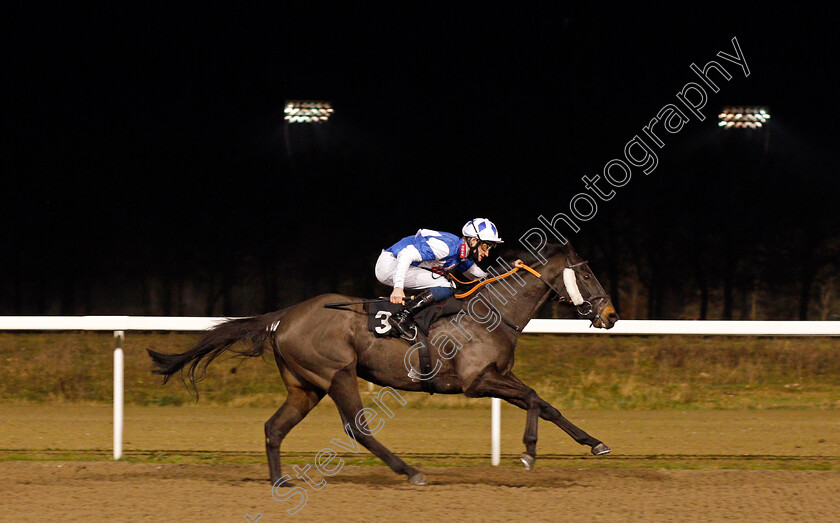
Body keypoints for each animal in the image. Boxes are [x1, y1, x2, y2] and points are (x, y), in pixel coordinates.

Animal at [146, 244, 616, 486]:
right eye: (587, 274)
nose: (610, 316)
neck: (492, 312)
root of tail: (283, 316)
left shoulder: (499, 375)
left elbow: (547, 404)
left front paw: (595, 443)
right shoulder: (477, 381)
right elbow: (535, 399)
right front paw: (528, 453)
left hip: (305, 386)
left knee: (273, 428)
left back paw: (280, 481)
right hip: (336, 374)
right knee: (357, 429)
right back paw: (411, 471)